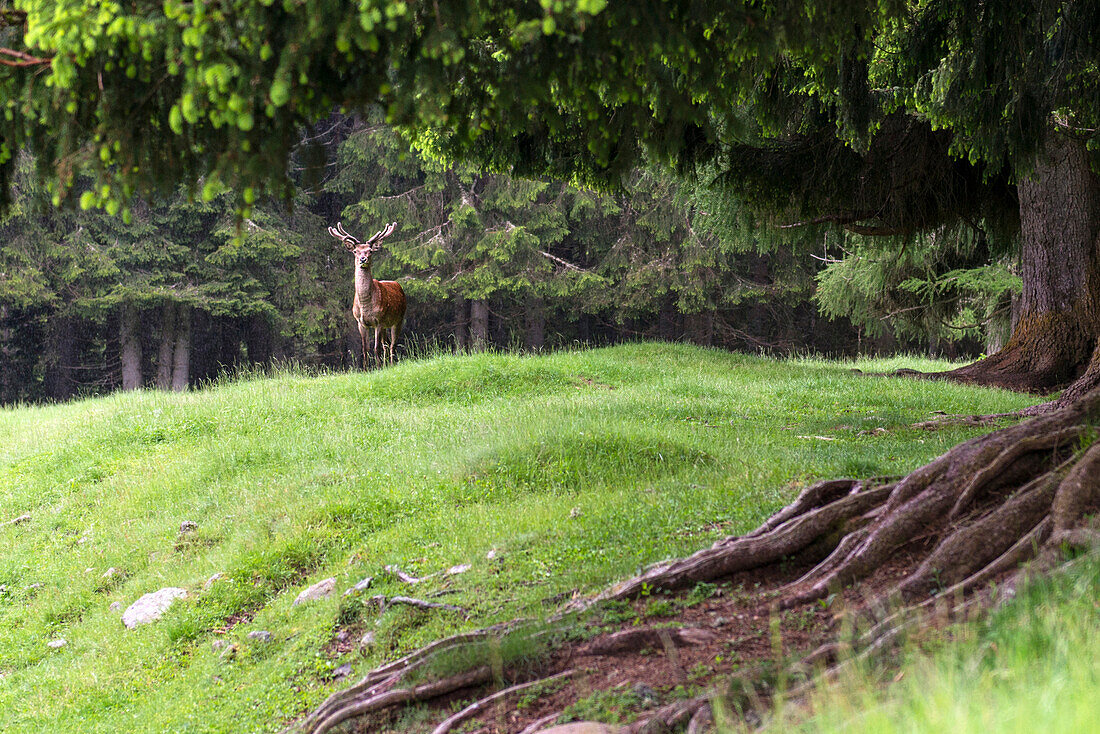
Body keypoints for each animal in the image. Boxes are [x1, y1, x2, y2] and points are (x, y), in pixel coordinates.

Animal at [332, 217, 411, 367]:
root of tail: (397, 285)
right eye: (355, 251)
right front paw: (366, 369)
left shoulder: (378, 321)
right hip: (387, 324)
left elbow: (376, 348)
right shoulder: (360, 322)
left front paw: (379, 368)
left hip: (399, 318)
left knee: (392, 345)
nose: (363, 259)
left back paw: (391, 364)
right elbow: (365, 349)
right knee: (387, 344)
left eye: (370, 251)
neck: (365, 305)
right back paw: (387, 365)